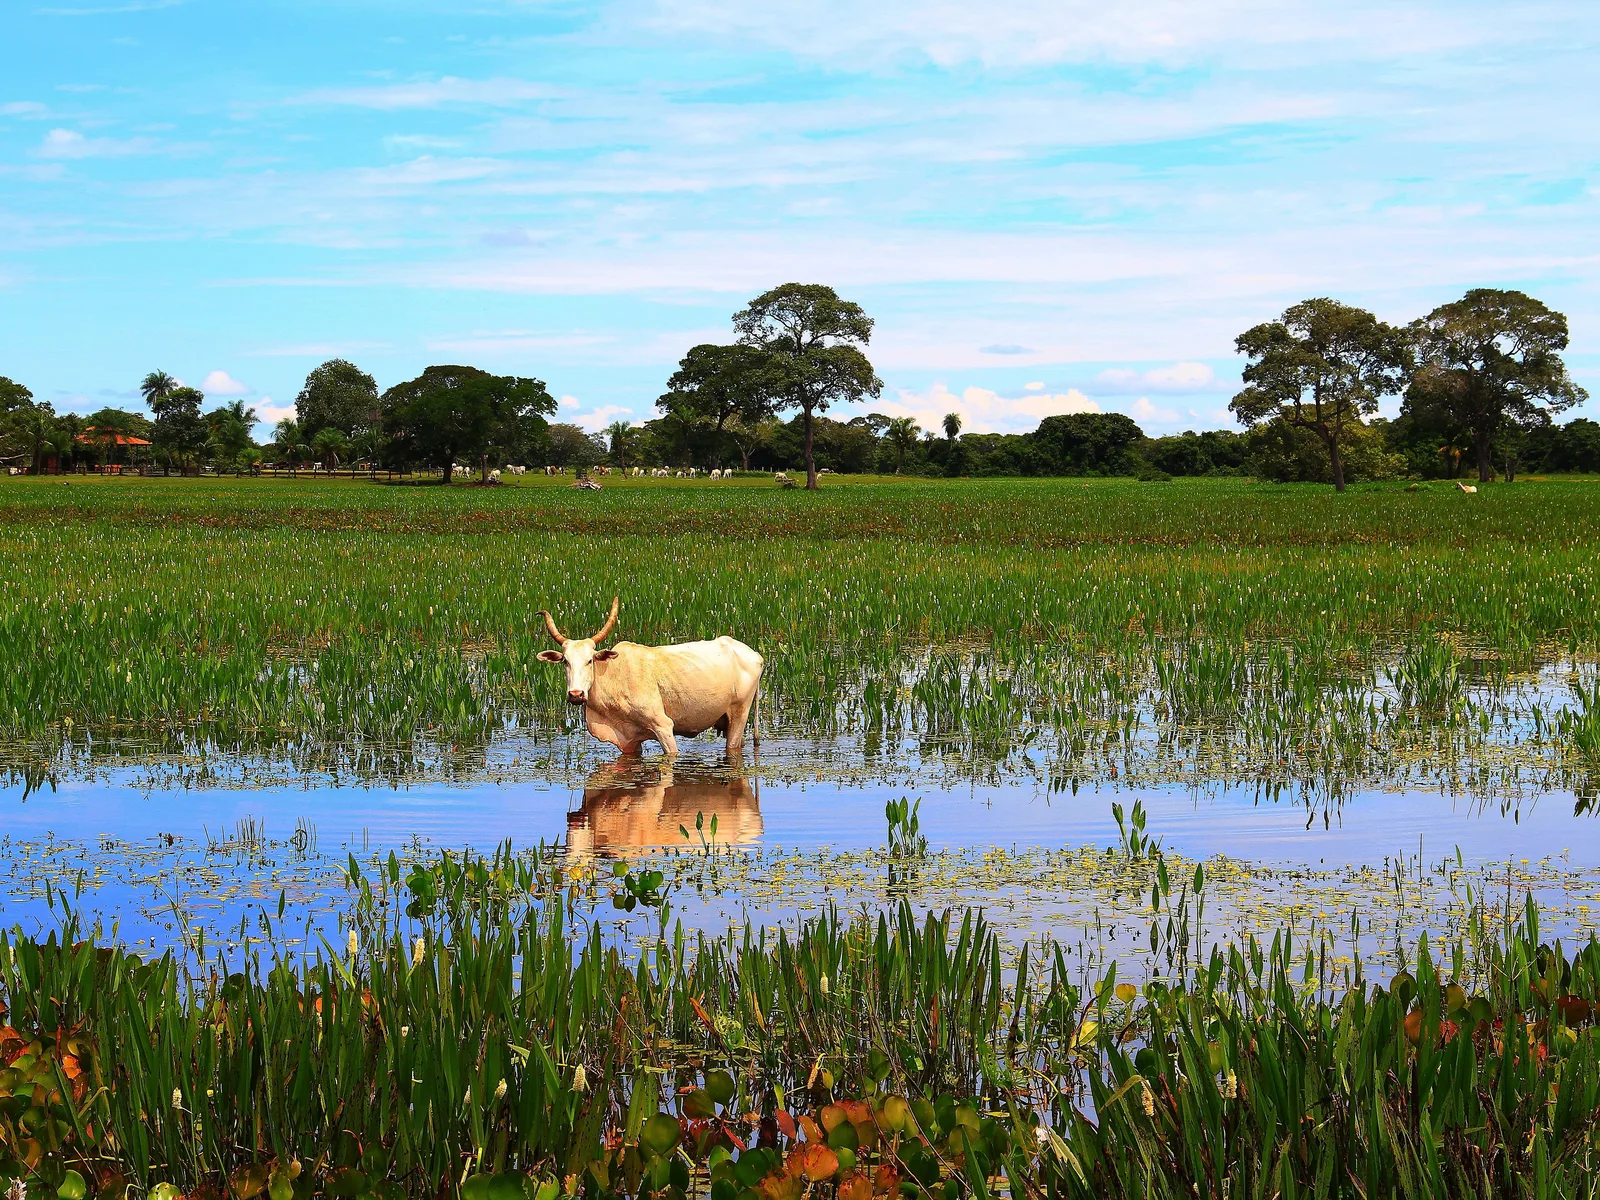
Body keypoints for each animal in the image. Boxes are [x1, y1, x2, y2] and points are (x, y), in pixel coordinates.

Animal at [535, 597, 763, 756]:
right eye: (565, 661)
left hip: (739, 713)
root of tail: (755, 655)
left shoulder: (663, 726)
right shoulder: (629, 740)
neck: (613, 677)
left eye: (590, 660)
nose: (576, 694)